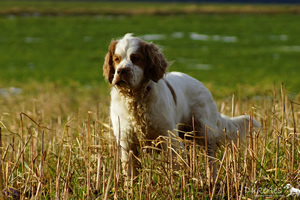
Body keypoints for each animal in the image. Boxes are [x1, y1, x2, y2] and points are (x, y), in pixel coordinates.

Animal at [103, 33, 260, 177]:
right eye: (116, 59)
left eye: (135, 58)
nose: (121, 71)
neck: (136, 99)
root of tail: (202, 85)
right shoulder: (126, 140)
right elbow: (130, 172)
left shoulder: (168, 137)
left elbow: (174, 165)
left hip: (204, 132)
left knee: (211, 160)